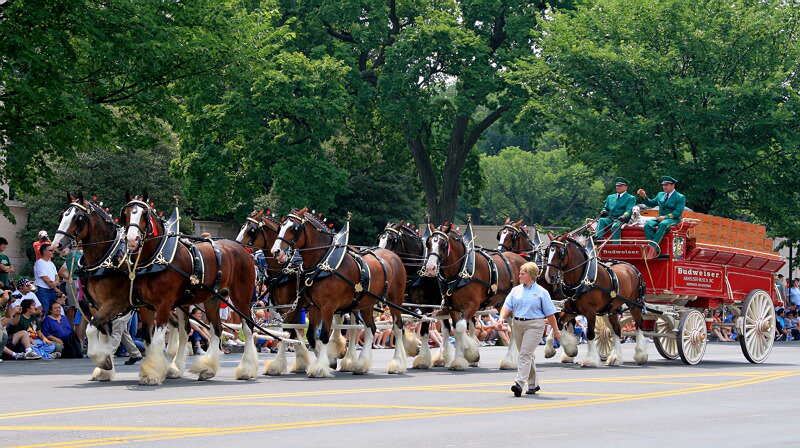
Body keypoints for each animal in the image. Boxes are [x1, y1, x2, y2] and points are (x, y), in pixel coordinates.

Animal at [121, 191, 256, 384]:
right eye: (125, 214)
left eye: (144, 214)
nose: (132, 239)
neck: (158, 258)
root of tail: (242, 249)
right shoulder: (146, 306)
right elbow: (149, 338)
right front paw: (156, 370)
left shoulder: (164, 305)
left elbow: (158, 339)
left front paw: (153, 373)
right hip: (213, 299)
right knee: (216, 329)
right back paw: (208, 368)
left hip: (241, 297)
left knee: (248, 327)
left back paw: (247, 369)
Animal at [234, 210, 312, 374]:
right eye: (243, 226)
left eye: (251, 230)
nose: (236, 247)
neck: (283, 270)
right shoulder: (278, 308)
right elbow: (289, 332)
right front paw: (301, 361)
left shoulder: (292, 307)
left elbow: (288, 332)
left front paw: (278, 365)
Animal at [274, 208, 410, 376]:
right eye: (281, 225)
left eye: (294, 228)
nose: (276, 251)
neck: (324, 263)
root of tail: (394, 256)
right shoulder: (314, 306)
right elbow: (311, 335)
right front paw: (328, 362)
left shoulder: (328, 307)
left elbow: (324, 336)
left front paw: (321, 367)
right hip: (366, 304)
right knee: (370, 329)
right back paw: (361, 365)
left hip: (395, 301)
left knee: (397, 328)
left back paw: (397, 364)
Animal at [422, 220, 528, 372]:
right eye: (429, 243)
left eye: (443, 244)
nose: (430, 268)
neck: (461, 270)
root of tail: (522, 260)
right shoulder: (452, 307)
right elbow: (457, 330)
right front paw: (460, 359)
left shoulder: (473, 305)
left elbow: (461, 328)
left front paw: (469, 353)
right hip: (502, 304)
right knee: (512, 326)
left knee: (514, 327)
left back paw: (510, 361)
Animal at [544, 233, 648, 366]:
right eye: (547, 252)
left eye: (560, 253)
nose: (549, 276)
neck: (583, 279)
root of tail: (632, 267)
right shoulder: (572, 310)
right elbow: (557, 323)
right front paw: (561, 350)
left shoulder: (590, 311)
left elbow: (590, 334)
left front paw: (590, 359)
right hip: (612, 309)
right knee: (617, 329)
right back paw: (616, 357)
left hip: (635, 305)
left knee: (639, 325)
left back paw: (641, 355)